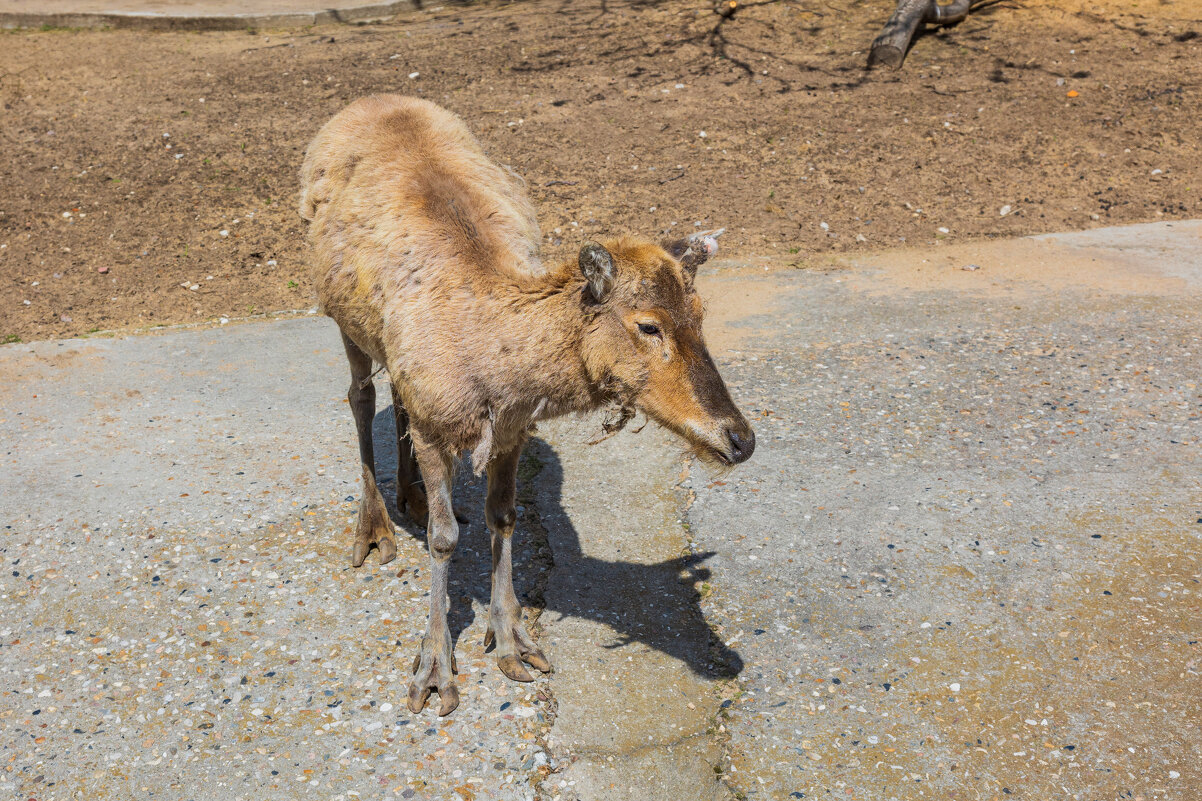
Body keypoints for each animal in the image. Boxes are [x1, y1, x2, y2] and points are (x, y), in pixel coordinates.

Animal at [300, 96, 750, 712]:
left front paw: (513, 638)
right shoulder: (442, 429)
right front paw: (434, 668)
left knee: (396, 395)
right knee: (361, 395)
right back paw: (373, 528)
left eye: (702, 315)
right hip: (341, 315)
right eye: (648, 325)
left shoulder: (511, 426)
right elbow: (444, 539)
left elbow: (504, 515)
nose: (741, 438)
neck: (493, 369)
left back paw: (410, 497)